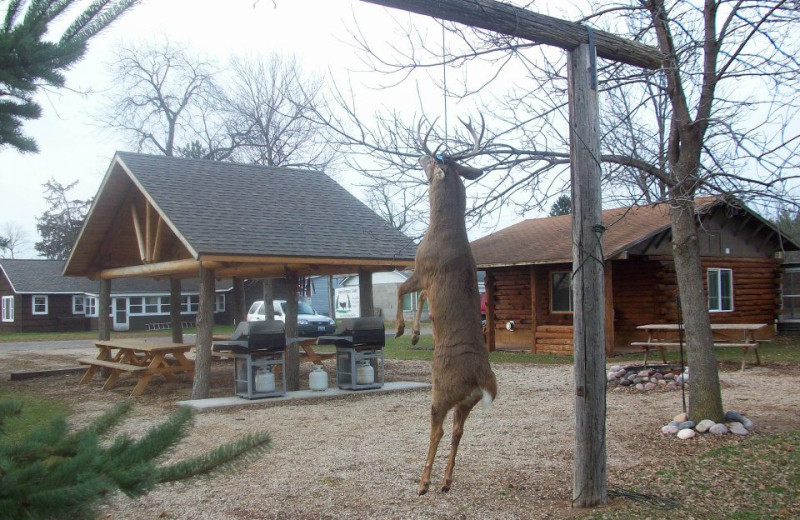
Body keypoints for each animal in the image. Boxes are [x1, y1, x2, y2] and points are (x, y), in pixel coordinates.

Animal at [396, 118, 496, 496]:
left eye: (435, 156)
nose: (420, 157)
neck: (443, 229)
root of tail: (481, 380)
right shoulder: (427, 280)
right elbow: (420, 300)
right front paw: (410, 332)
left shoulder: (423, 268)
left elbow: (402, 290)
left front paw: (405, 332)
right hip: (466, 404)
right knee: (457, 432)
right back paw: (446, 482)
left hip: (442, 390)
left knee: (437, 429)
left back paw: (424, 482)